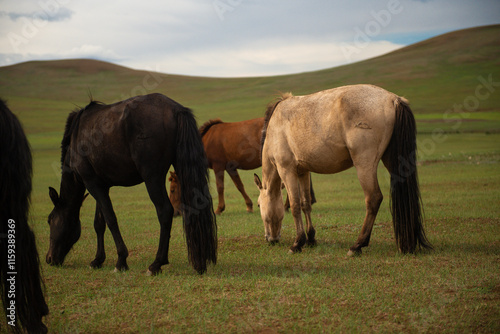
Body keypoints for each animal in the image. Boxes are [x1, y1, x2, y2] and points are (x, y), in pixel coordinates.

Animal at [46, 93, 217, 274]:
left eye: (50, 220)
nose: (49, 259)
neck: (77, 138)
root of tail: (176, 110)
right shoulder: (101, 186)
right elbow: (99, 223)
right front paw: (98, 260)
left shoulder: (92, 184)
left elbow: (111, 219)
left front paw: (121, 260)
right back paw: (199, 264)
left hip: (152, 178)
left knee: (165, 211)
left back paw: (156, 264)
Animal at [256, 84, 432, 256]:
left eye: (258, 205)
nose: (270, 239)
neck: (275, 126)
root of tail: (393, 99)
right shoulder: (303, 172)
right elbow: (306, 204)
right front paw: (311, 239)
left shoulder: (287, 171)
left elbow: (294, 205)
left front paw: (297, 243)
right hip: (393, 162)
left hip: (364, 166)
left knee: (373, 198)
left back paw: (357, 246)